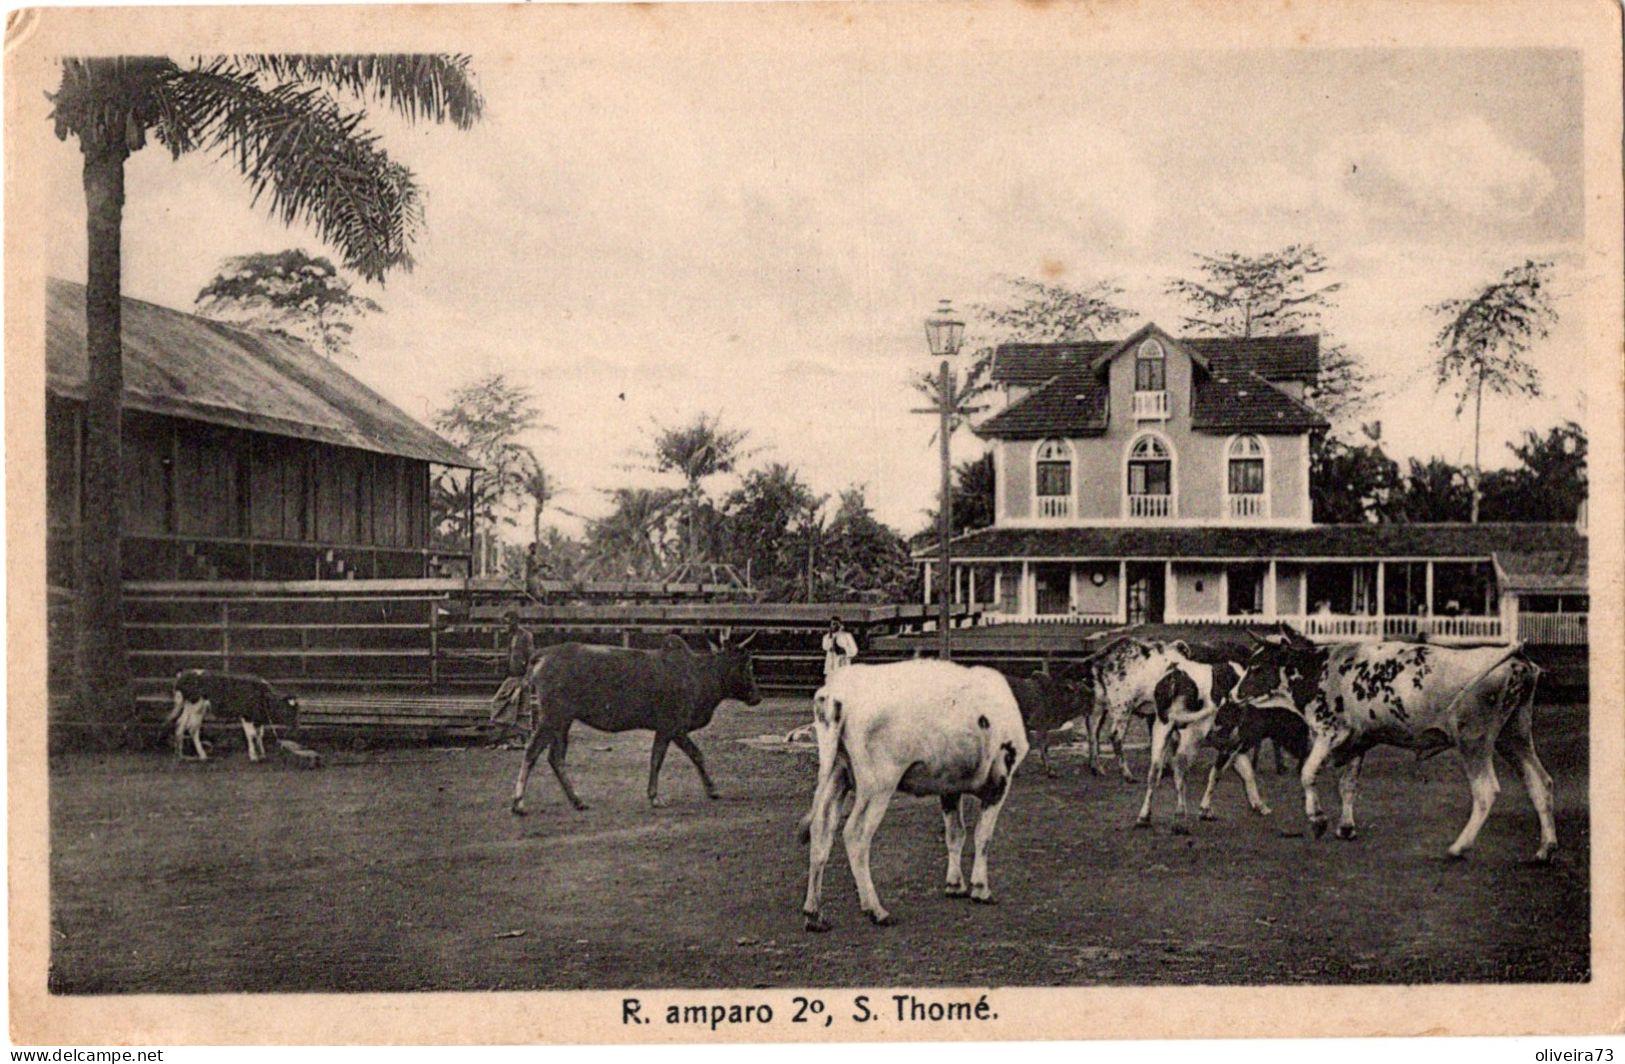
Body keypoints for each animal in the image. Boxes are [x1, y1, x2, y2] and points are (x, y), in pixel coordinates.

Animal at [168, 669, 302, 760]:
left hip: (188, 706)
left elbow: (259, 735)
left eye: (297, 710)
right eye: (287, 709)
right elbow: (251, 735)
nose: (296, 726)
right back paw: (202, 755)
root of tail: (183, 675)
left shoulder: (258, 718)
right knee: (192, 728)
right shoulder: (247, 716)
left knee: (180, 724)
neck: (262, 695)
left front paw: (262, 753)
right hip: (197, 707)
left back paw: (179, 754)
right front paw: (253, 755)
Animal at [507, 633, 760, 815]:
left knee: (555, 757)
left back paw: (578, 800)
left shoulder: (667, 728)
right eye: (746, 665)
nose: (757, 697)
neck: (702, 679)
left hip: (564, 720)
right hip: (553, 716)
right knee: (532, 751)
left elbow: (671, 757)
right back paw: (519, 803)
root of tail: (540, 655)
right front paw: (658, 796)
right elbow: (678, 756)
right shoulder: (672, 725)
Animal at [799, 662, 1027, 935]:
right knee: (855, 834)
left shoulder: (949, 786)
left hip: (837, 773)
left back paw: (814, 914)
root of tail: (838, 689)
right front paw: (981, 889)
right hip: (878, 784)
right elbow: (983, 837)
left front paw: (955, 885)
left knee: (821, 829)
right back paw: (877, 911)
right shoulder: (1000, 780)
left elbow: (955, 834)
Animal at [1222, 627, 1553, 864]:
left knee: (1486, 791)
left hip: (1474, 739)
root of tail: (1515, 659)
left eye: (1258, 667)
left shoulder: (1331, 731)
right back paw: (1546, 849)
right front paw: (1346, 827)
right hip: (1514, 735)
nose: (1233, 694)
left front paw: (1318, 820)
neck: (1320, 671)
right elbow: (1348, 785)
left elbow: (1307, 773)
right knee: (1540, 782)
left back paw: (1458, 848)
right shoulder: (1358, 739)